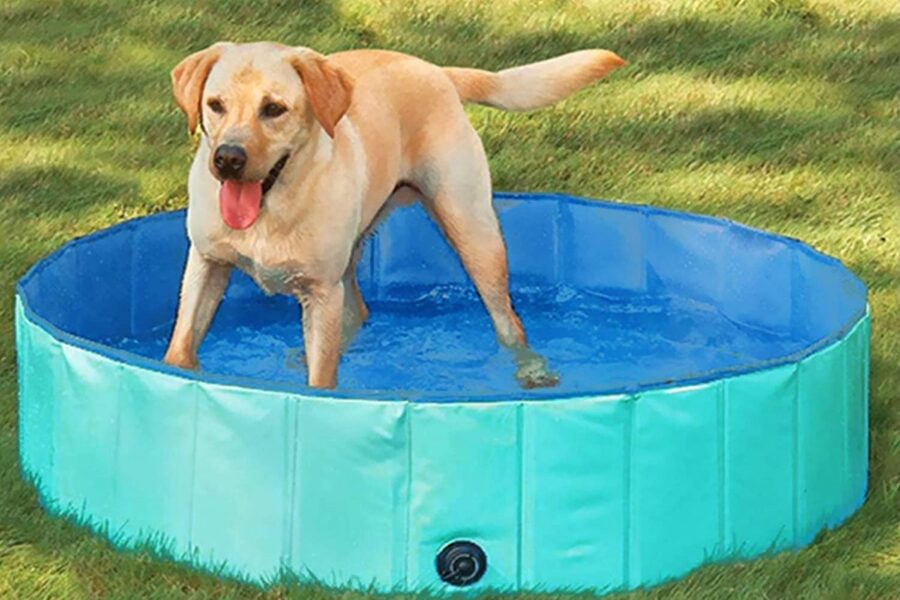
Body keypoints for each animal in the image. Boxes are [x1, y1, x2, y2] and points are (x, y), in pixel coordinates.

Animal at [163, 43, 624, 390]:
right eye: (215, 105)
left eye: (274, 109)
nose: (228, 159)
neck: (270, 209)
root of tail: (436, 70)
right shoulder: (206, 264)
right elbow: (181, 346)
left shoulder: (321, 292)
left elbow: (322, 378)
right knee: (359, 310)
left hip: (472, 229)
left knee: (509, 321)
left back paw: (533, 370)